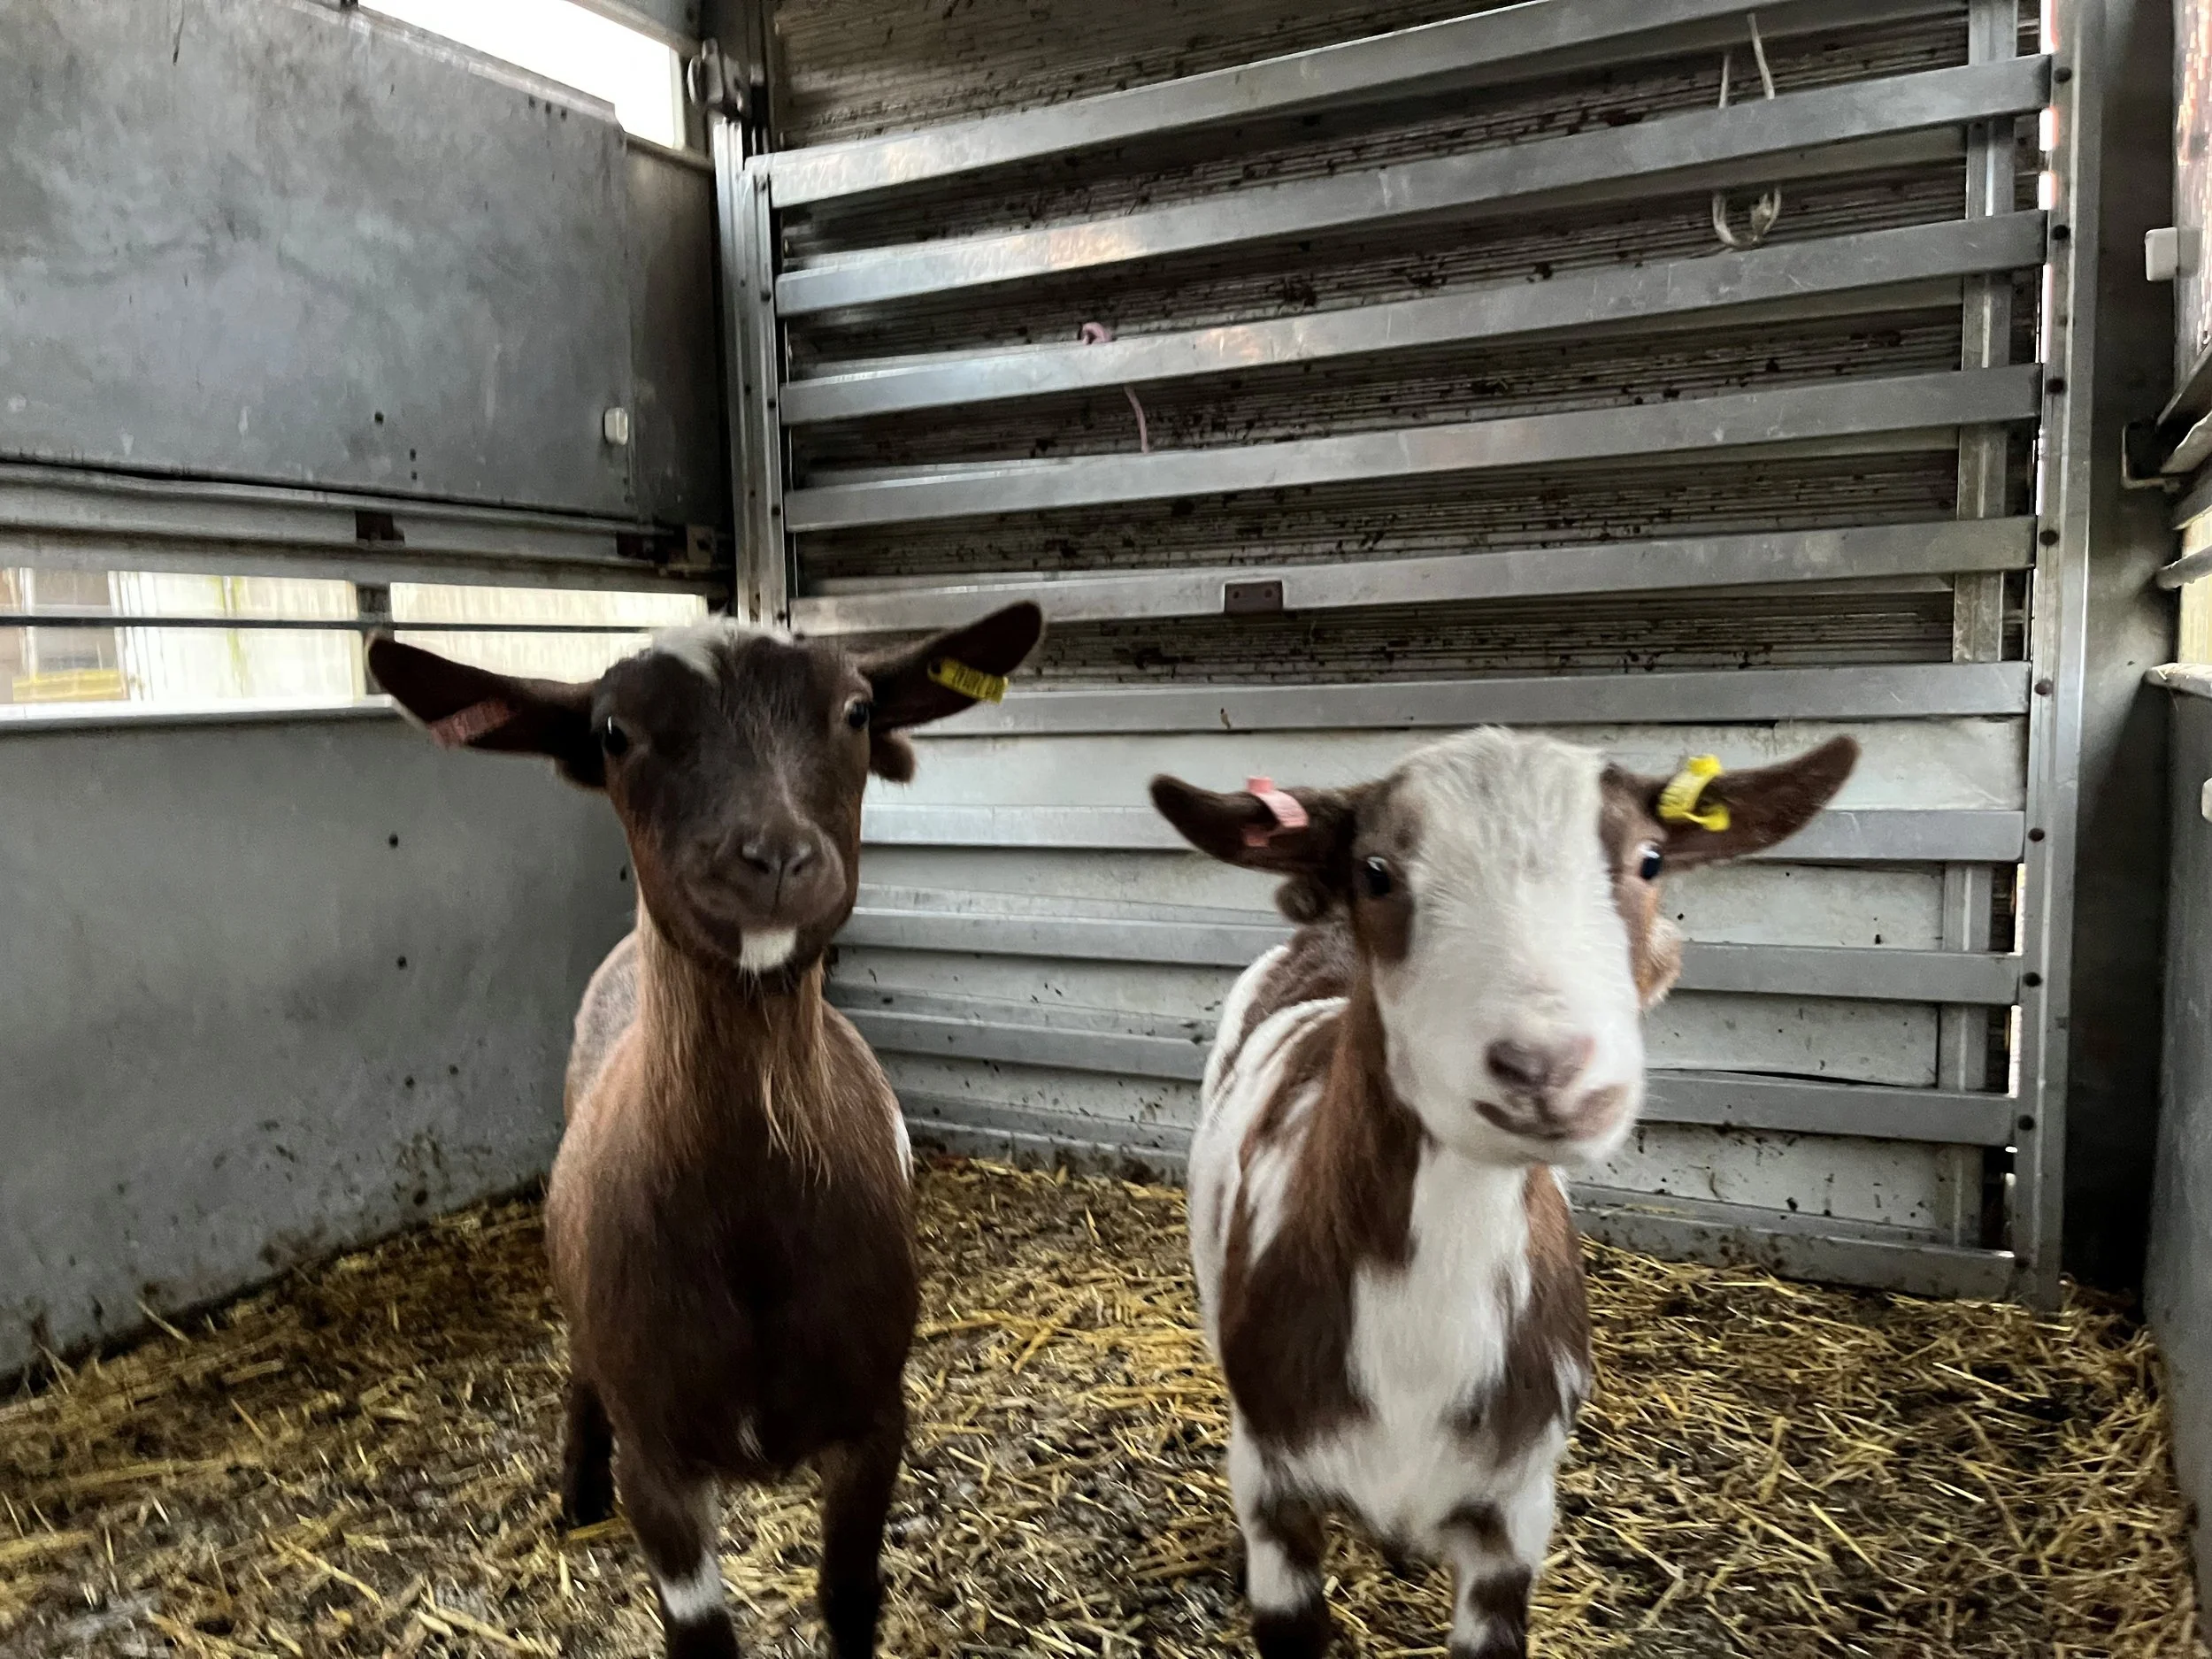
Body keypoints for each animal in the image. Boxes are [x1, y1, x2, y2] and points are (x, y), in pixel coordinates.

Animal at [368, 602, 1043, 1659]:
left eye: (856, 710)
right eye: (612, 732)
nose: (771, 858)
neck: (754, 1239)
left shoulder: (874, 1417)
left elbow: (850, 1595)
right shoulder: (661, 1457)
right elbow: (699, 1634)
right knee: (580, 1371)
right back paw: (576, 1494)